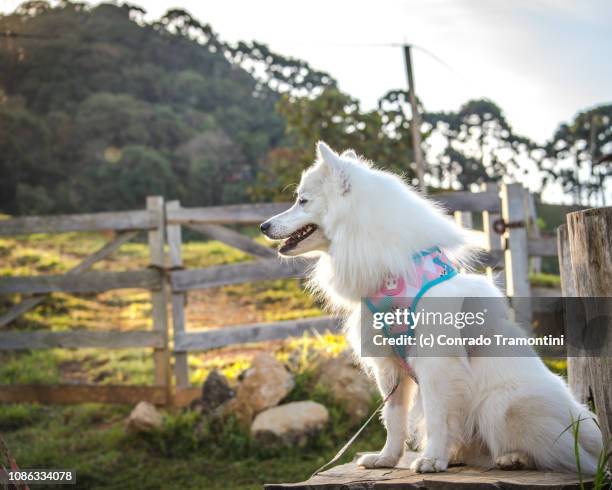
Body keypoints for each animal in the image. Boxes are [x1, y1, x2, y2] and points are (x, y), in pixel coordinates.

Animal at [260, 142, 604, 474]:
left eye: (302, 201)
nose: (263, 225)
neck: (393, 278)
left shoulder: (437, 365)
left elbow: (438, 417)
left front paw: (431, 460)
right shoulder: (390, 367)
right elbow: (393, 419)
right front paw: (387, 458)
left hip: (502, 404)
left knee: (552, 453)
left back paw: (513, 458)